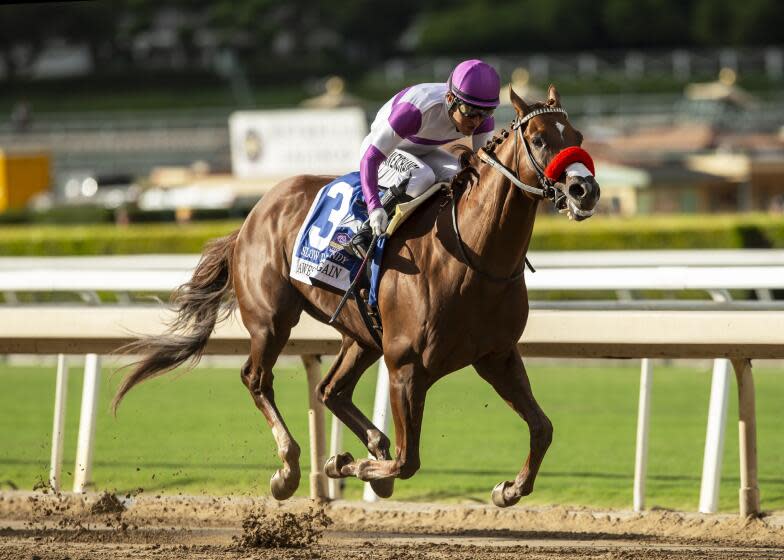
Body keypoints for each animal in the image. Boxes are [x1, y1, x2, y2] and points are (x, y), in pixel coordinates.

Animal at [112, 86, 600, 508]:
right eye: (538, 139)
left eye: (576, 137)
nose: (585, 191)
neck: (474, 256)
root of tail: (253, 214)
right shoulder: (406, 366)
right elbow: (406, 461)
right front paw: (348, 464)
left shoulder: (496, 356)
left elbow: (542, 428)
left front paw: (509, 489)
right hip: (272, 319)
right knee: (257, 379)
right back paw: (288, 469)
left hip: (362, 335)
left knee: (330, 390)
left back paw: (363, 444)